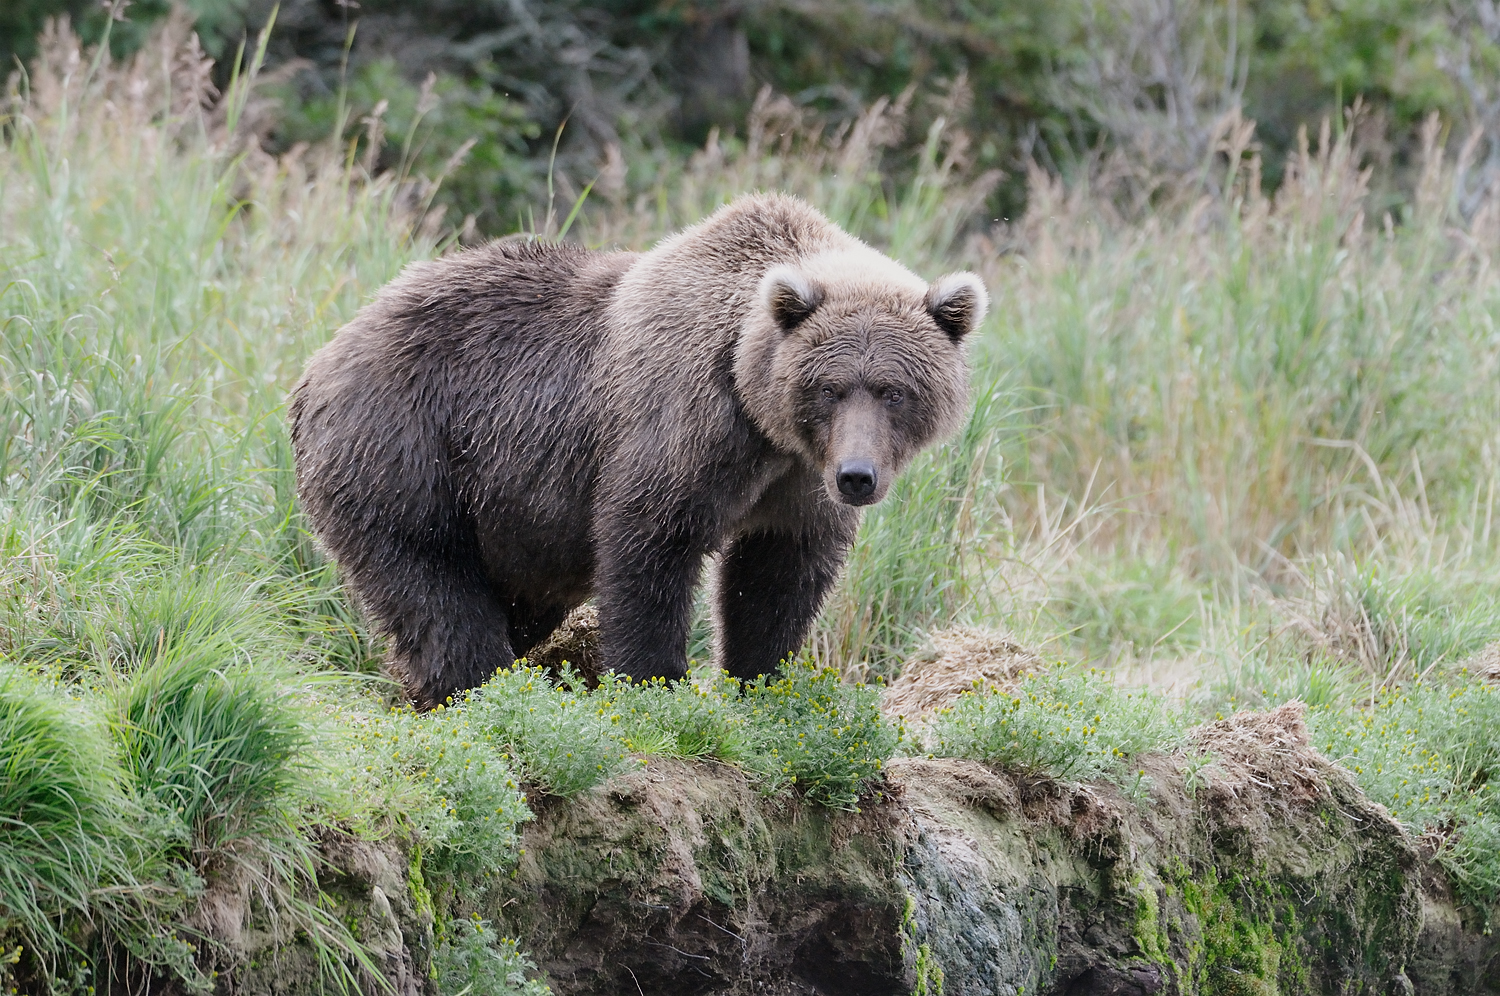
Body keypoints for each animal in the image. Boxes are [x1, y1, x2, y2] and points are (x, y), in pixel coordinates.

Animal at [292, 192, 990, 708]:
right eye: (830, 387)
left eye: (895, 391)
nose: (857, 477)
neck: (761, 414)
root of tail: (323, 357)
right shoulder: (682, 421)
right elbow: (648, 547)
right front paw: (658, 686)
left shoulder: (795, 482)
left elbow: (776, 576)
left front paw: (761, 684)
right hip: (406, 445)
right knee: (433, 581)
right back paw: (476, 690)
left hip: (506, 520)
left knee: (515, 600)